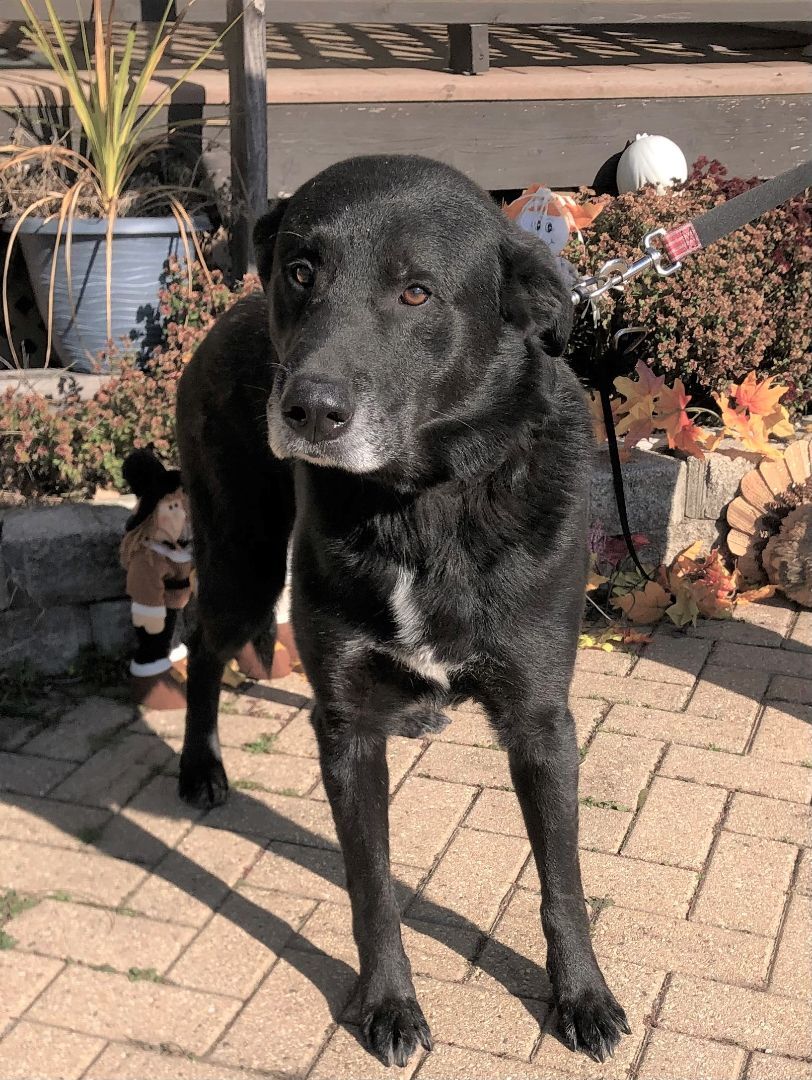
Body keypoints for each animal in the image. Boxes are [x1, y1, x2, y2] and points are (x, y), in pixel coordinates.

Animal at [177, 156, 630, 1067]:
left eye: (416, 292)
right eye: (301, 271)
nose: (307, 411)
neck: (422, 506)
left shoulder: (541, 720)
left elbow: (562, 882)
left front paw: (582, 997)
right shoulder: (346, 727)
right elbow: (370, 885)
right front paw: (387, 1003)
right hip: (242, 561)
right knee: (202, 644)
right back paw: (200, 766)